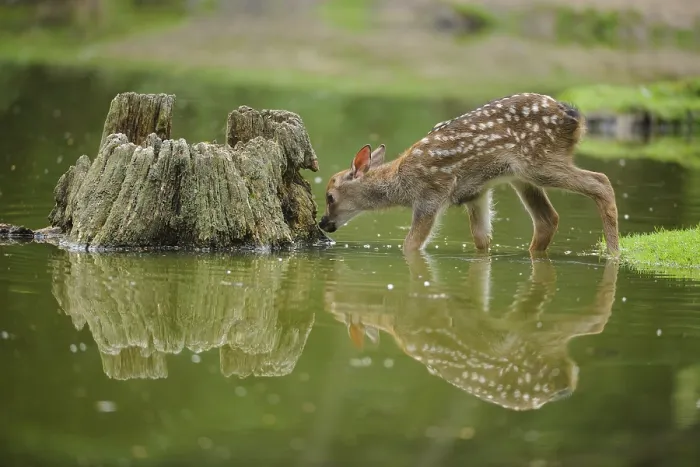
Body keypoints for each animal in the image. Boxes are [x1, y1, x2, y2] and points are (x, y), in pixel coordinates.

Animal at [318, 93, 619, 255]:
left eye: (330, 196)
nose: (323, 223)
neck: (401, 182)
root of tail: (575, 117)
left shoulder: (431, 196)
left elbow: (411, 245)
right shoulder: (476, 194)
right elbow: (481, 240)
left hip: (539, 163)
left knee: (601, 181)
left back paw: (614, 253)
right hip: (521, 177)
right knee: (548, 218)